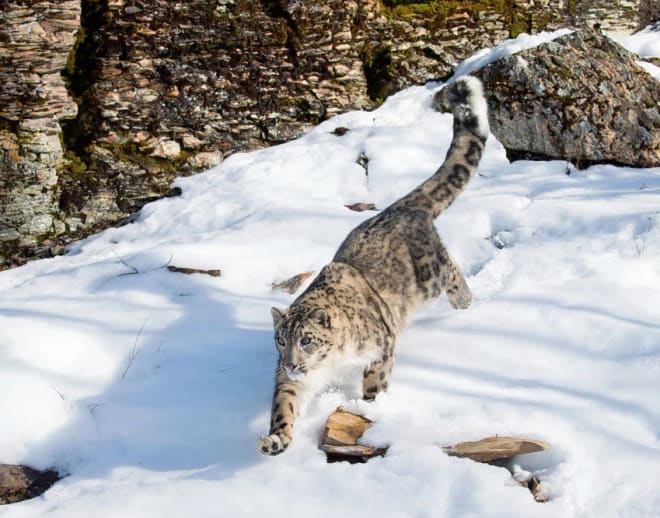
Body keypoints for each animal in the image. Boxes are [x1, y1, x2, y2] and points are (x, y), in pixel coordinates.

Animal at [258, 75, 490, 458]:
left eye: (306, 339)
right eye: (280, 339)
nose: (291, 363)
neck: (331, 363)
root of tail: (400, 206)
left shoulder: (381, 347)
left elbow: (375, 383)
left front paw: (370, 409)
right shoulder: (291, 381)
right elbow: (285, 405)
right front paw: (276, 439)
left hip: (429, 276)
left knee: (451, 268)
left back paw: (464, 302)